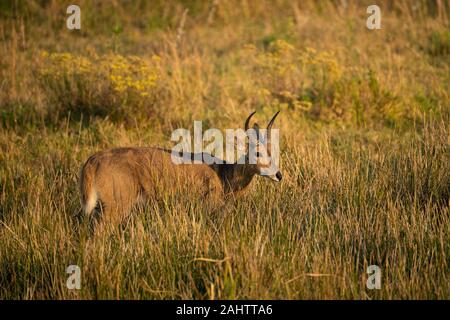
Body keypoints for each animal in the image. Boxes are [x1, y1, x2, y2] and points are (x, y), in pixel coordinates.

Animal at [78, 111, 282, 229]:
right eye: (256, 152)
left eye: (272, 150)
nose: (278, 175)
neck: (223, 173)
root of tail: (92, 161)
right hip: (116, 208)